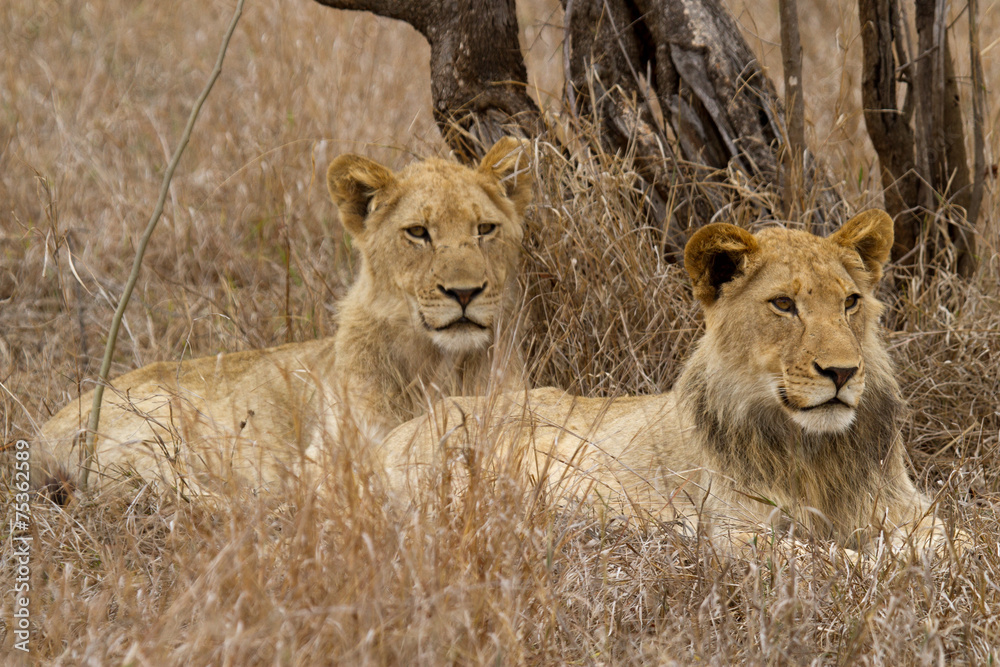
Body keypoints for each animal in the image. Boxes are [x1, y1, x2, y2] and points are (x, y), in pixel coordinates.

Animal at [33, 137, 532, 498]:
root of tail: (41, 433)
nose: (464, 292)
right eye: (418, 233)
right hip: (155, 424)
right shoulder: (330, 455)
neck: (438, 363)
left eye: (485, 229)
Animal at [383, 210, 952, 551]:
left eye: (850, 301)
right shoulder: (732, 532)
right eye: (784, 304)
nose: (842, 372)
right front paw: (879, 562)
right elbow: (829, 558)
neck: (814, 452)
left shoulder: (908, 508)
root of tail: (396, 432)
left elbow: (953, 542)